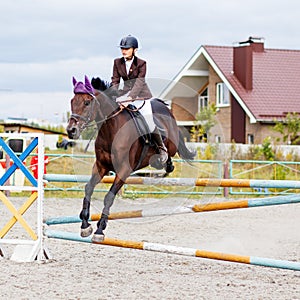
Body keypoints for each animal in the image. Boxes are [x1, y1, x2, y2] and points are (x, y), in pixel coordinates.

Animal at [67, 75, 196, 241]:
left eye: (87, 102)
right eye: (72, 101)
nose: (71, 130)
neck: (111, 131)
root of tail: (166, 109)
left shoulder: (124, 170)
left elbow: (109, 197)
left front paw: (100, 229)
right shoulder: (101, 166)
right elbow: (88, 188)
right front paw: (85, 225)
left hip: (172, 142)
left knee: (171, 150)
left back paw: (165, 162)